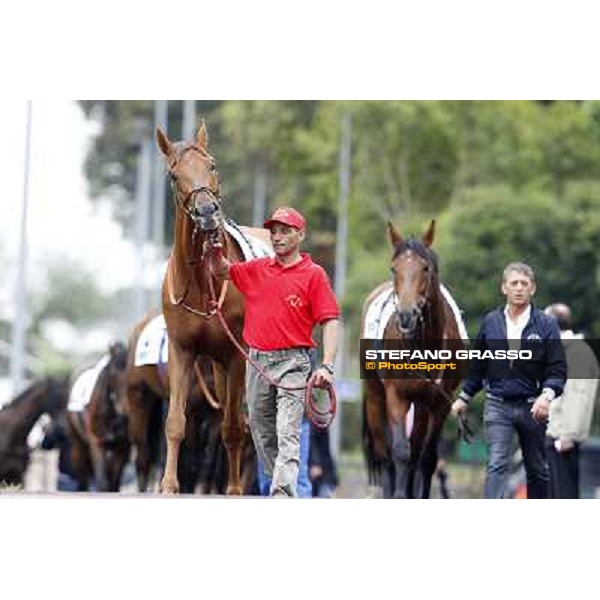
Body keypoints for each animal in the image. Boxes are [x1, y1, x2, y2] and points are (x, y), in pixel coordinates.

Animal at [67, 342, 129, 492]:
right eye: (113, 372)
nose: (125, 407)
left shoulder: (123, 447)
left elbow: (114, 483)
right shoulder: (97, 443)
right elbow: (103, 483)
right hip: (78, 443)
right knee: (82, 475)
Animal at [155, 124, 270, 494]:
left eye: (213, 165)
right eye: (174, 175)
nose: (206, 212)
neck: (201, 281)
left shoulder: (236, 356)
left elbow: (233, 428)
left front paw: (233, 491)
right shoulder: (182, 349)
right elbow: (175, 422)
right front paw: (168, 485)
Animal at [360, 220, 464, 496]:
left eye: (425, 268)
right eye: (394, 268)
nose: (407, 315)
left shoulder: (440, 402)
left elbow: (426, 458)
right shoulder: (396, 395)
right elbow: (400, 452)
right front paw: (397, 495)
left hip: (422, 403)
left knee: (418, 451)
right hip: (375, 396)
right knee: (385, 453)